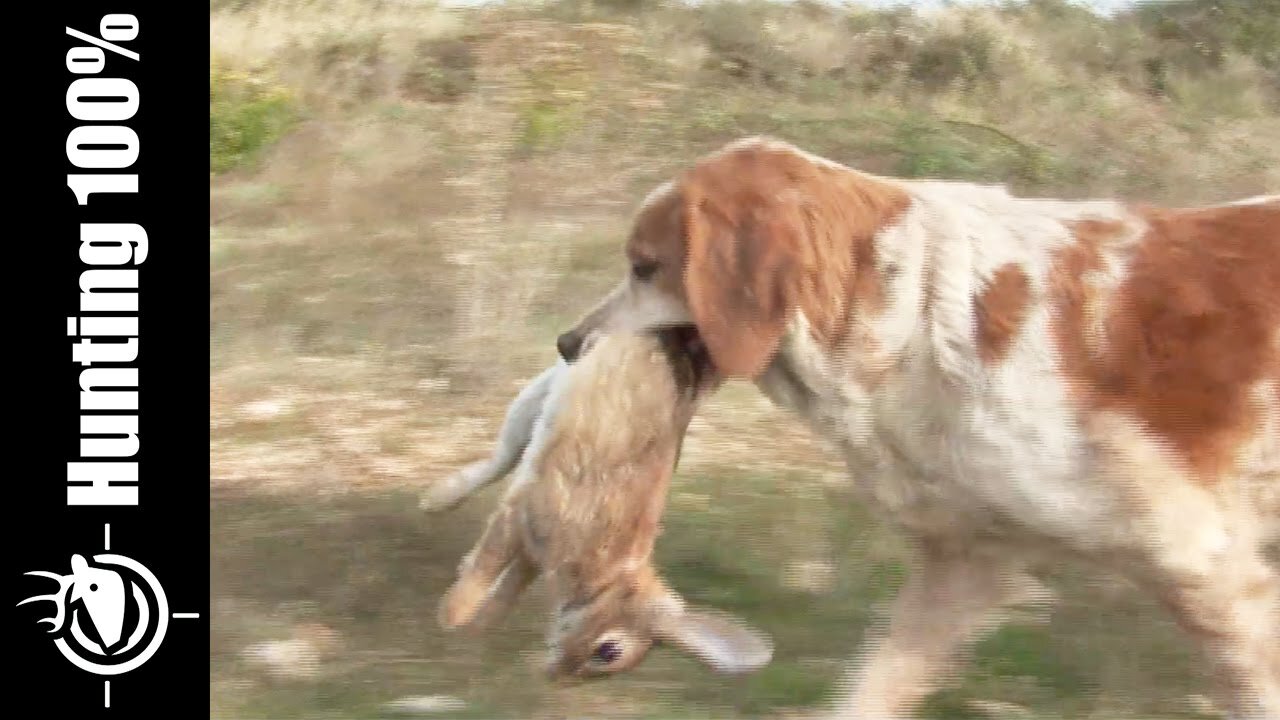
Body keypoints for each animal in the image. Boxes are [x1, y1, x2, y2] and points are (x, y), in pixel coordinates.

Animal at [555, 135, 1280, 717]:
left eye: (645, 266)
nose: (566, 343)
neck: (918, 317)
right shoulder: (968, 559)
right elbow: (872, 687)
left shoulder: (1198, 561)